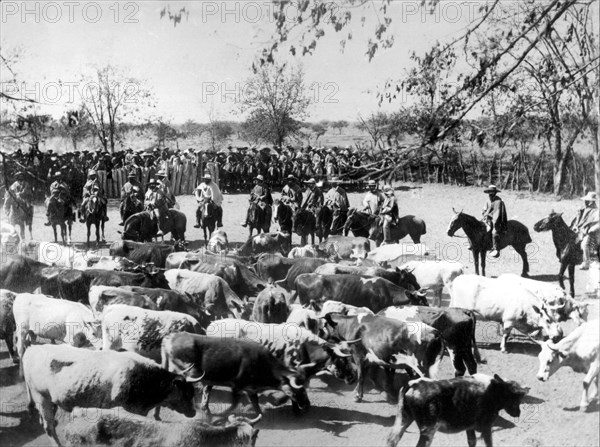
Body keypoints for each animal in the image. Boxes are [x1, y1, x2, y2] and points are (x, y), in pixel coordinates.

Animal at [22, 344, 197, 446]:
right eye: (186, 393)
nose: (193, 412)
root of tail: (31, 349)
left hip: (52, 401)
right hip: (41, 398)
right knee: (48, 427)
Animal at [159, 332, 310, 416]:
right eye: (301, 390)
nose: (307, 405)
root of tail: (170, 337)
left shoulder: (248, 388)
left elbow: (252, 403)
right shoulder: (241, 386)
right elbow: (240, 403)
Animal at [386, 374, 528, 447]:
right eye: (517, 399)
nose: (518, 413)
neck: (493, 390)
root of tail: (413, 384)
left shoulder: (470, 427)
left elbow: (472, 442)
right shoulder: (486, 427)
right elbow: (489, 444)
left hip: (403, 420)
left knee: (391, 441)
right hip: (428, 430)